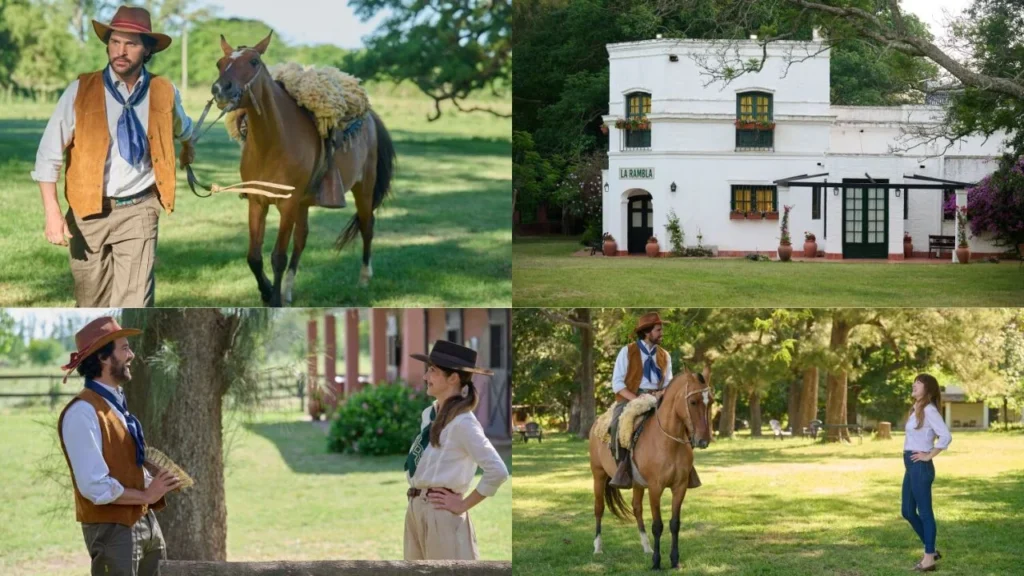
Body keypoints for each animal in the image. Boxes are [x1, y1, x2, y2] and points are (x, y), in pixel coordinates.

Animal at [206, 31, 391, 305]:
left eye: (254, 62)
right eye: (220, 63)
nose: (221, 89)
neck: (272, 144)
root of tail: (369, 116)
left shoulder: (288, 204)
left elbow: (277, 257)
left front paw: (273, 300)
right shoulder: (258, 202)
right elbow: (254, 257)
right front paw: (267, 291)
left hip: (363, 188)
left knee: (367, 227)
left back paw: (364, 278)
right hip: (305, 203)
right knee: (302, 238)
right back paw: (288, 289)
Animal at [593, 364, 712, 565]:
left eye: (710, 401)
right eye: (693, 402)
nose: (703, 441)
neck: (668, 442)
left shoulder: (680, 487)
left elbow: (674, 523)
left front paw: (674, 559)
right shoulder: (655, 488)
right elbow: (657, 525)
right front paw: (657, 562)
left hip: (637, 484)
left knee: (637, 509)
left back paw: (646, 547)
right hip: (598, 476)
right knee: (599, 509)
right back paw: (598, 547)